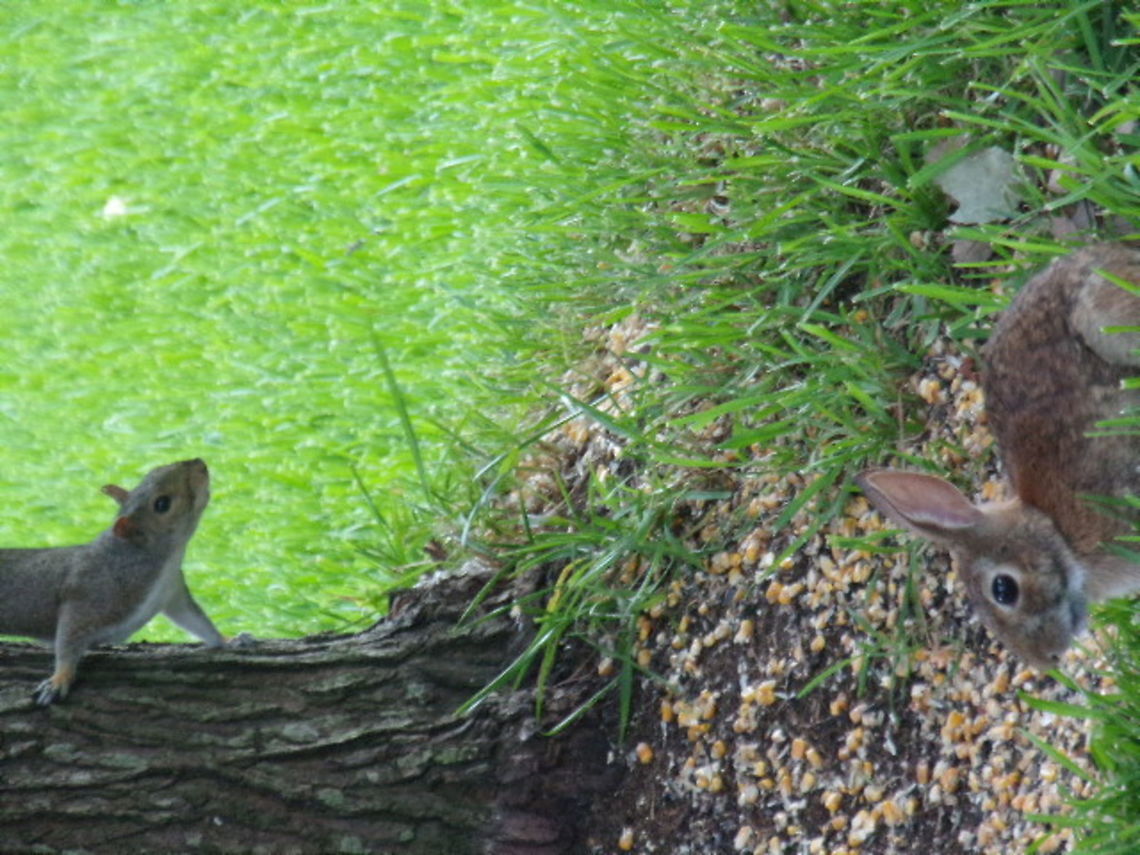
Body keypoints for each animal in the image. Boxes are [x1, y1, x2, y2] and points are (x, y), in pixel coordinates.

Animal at [0, 458, 235, 705]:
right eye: (162, 504)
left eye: (154, 469)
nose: (200, 464)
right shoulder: (89, 596)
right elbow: (67, 638)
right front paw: (60, 679)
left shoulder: (172, 593)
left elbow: (197, 621)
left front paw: (229, 640)